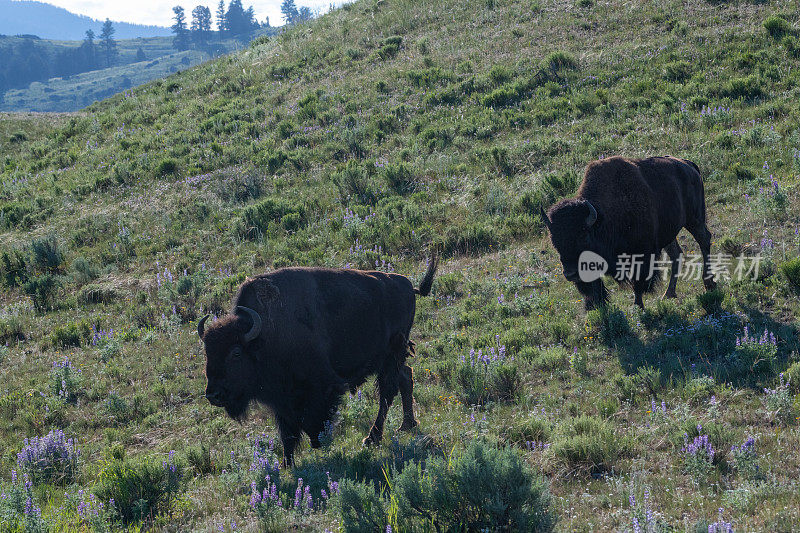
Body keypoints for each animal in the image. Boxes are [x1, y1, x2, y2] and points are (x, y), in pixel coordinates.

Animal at [198, 258, 438, 466]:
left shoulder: (321, 386)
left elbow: (312, 418)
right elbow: (287, 432)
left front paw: (317, 442)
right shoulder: (281, 400)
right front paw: (287, 463)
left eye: (236, 353)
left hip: (391, 355)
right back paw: (406, 425)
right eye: (207, 353)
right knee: (405, 377)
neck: (264, 335)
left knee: (387, 393)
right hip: (391, 358)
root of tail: (409, 286)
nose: (213, 394)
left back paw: (372, 438)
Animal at [540, 155, 716, 308]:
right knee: (676, 254)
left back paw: (709, 283)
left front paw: (638, 305)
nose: (570, 274)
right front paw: (596, 306)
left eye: (583, 238)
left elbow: (637, 283)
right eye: (555, 243)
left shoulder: (642, 255)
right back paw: (668, 294)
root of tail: (689, 165)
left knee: (704, 240)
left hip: (694, 219)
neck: (603, 218)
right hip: (670, 233)